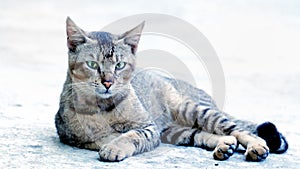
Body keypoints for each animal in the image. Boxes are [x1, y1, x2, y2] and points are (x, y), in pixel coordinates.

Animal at [54, 17, 288, 162]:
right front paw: (111, 142)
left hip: (193, 110)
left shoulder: (148, 127)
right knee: (204, 134)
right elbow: (106, 136)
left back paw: (256, 147)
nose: (108, 82)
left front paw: (116, 146)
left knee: (237, 129)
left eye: (119, 65)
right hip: (176, 132)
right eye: (92, 65)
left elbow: (131, 135)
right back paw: (224, 146)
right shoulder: (77, 137)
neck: (103, 108)